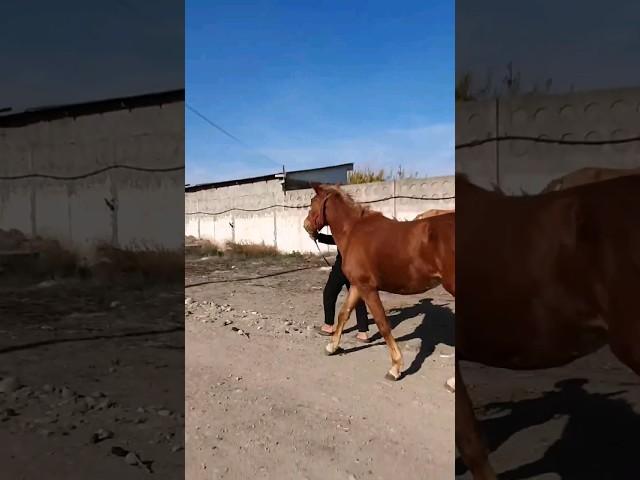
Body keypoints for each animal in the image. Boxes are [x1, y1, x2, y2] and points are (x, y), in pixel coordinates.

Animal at [302, 183, 452, 378]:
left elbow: (382, 323)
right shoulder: (357, 286)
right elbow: (344, 313)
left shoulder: (368, 288)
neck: (353, 230)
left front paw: (396, 367)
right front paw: (332, 347)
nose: (306, 226)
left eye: (312, 202)